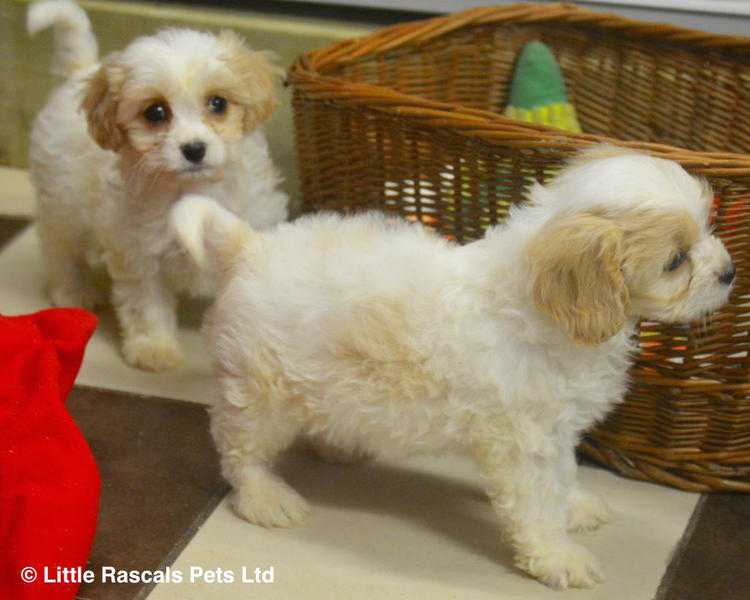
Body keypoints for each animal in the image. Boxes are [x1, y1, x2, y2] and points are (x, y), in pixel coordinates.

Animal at [27, 0, 288, 370]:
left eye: (218, 103)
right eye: (156, 112)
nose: (194, 149)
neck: (193, 189)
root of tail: (82, 70)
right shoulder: (139, 255)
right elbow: (146, 306)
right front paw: (155, 350)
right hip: (62, 202)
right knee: (58, 248)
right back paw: (74, 291)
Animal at [170, 146, 736, 592]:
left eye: (709, 228)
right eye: (676, 261)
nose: (730, 272)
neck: (539, 309)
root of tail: (249, 246)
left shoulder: (554, 431)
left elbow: (564, 475)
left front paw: (574, 507)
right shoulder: (524, 444)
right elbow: (538, 505)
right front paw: (558, 557)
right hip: (259, 397)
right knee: (238, 454)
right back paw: (266, 498)